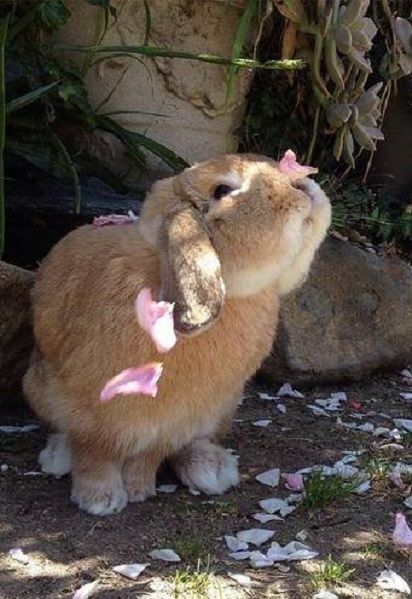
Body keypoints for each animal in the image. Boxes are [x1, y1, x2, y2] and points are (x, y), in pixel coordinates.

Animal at [23, 155, 332, 516]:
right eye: (223, 190)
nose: (303, 184)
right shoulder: (91, 415)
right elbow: (95, 455)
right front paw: (99, 499)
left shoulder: (174, 423)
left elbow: (148, 457)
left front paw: (138, 489)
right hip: (40, 389)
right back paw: (59, 458)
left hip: (222, 409)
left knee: (194, 444)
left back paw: (211, 471)